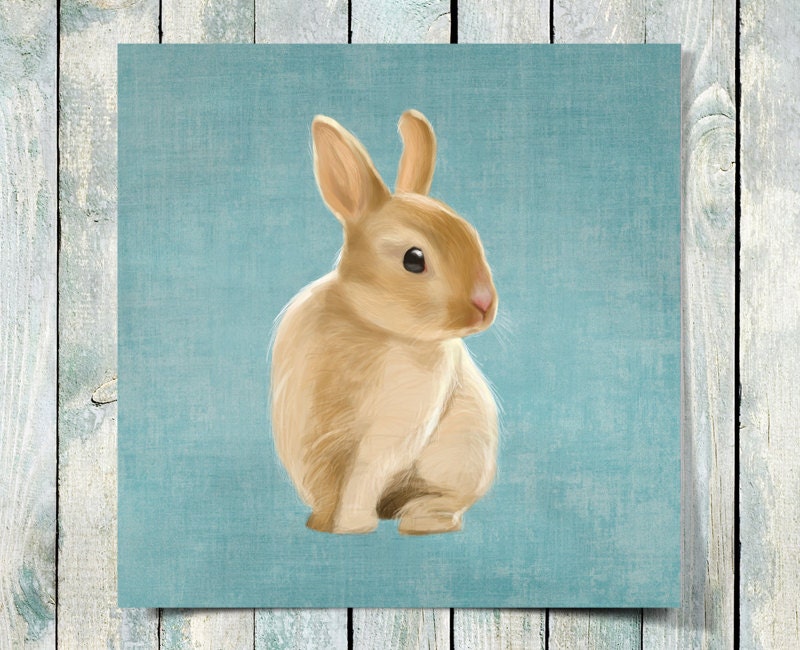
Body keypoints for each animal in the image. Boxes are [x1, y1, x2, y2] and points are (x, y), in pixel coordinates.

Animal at [270, 110, 498, 535]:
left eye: (472, 237)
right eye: (413, 259)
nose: (484, 305)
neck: (371, 324)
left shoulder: (392, 431)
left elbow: (363, 476)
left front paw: (350, 526)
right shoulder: (309, 432)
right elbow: (326, 484)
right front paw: (324, 525)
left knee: (443, 502)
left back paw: (422, 521)